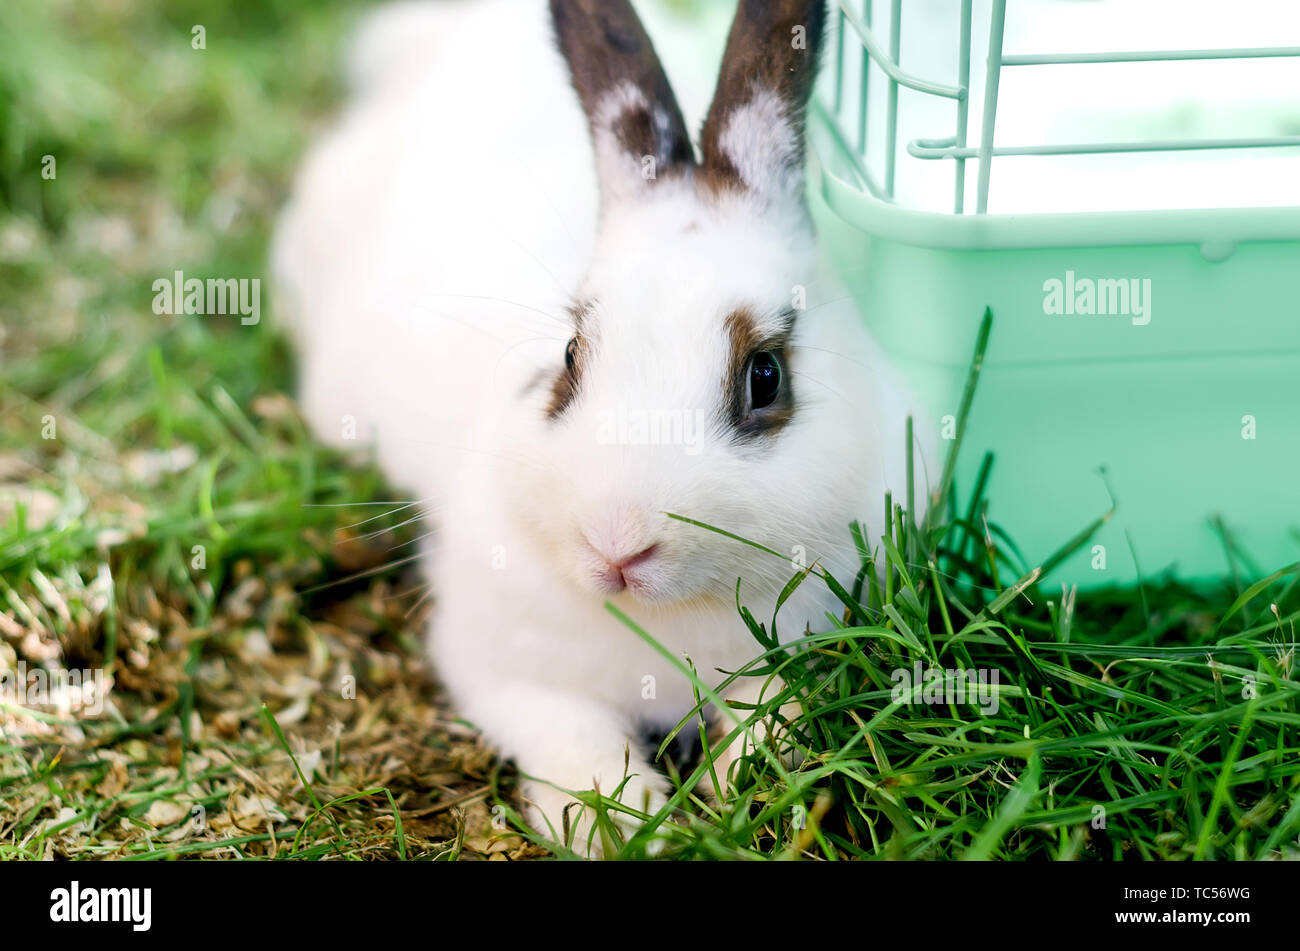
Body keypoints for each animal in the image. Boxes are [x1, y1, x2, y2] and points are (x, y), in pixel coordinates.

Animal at [273, 0, 927, 856]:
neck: (666, 619)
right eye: (570, 355)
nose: (617, 542)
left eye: (765, 376)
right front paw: (625, 825)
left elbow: (771, 715)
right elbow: (573, 739)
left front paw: (740, 790)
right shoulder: (510, 673)